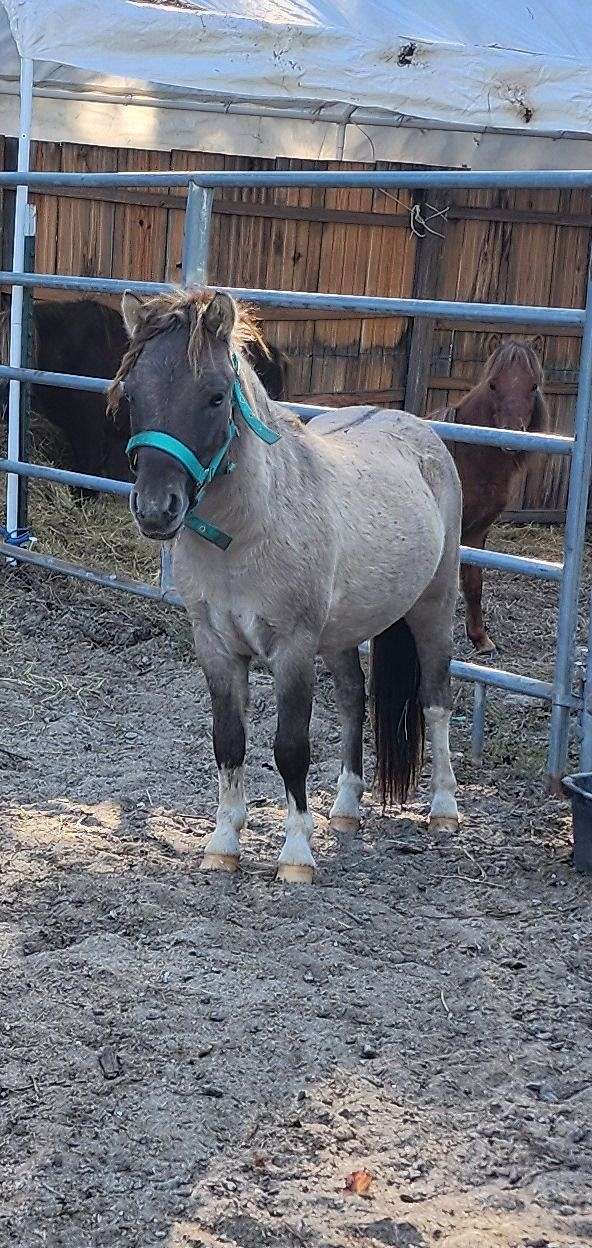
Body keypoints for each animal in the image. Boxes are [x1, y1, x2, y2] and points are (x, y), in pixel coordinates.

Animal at [111, 287, 462, 883]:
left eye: (215, 397)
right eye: (133, 395)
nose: (157, 510)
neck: (249, 530)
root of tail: (418, 429)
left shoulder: (293, 648)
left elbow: (291, 747)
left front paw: (296, 855)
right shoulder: (216, 647)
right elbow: (229, 742)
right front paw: (223, 844)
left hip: (433, 606)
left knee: (435, 701)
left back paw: (443, 809)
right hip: (343, 632)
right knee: (352, 701)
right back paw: (345, 810)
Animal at [427, 336, 547, 658]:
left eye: (533, 385)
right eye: (493, 384)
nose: (511, 437)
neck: (466, 455)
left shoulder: (477, 530)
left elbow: (473, 583)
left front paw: (480, 639)